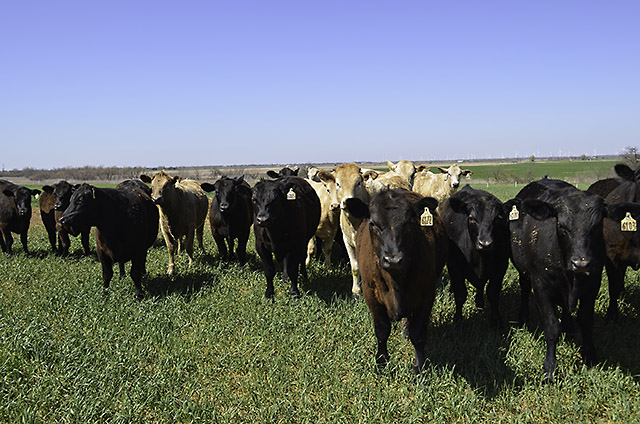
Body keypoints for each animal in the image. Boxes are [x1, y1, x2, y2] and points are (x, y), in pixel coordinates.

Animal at [333, 163, 370, 297]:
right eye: (337, 184)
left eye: (359, 182)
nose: (348, 202)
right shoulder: (347, 242)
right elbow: (355, 267)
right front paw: (356, 292)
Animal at [344, 189, 447, 374]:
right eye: (373, 224)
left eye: (409, 223)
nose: (393, 260)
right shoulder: (370, 292)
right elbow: (382, 330)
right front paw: (381, 362)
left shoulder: (427, 293)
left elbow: (418, 333)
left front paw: (419, 367)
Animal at [439, 185, 509, 327]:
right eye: (471, 218)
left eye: (498, 218)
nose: (485, 243)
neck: (481, 259)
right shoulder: (454, 268)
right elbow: (460, 294)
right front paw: (457, 319)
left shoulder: (501, 268)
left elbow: (493, 293)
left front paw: (496, 320)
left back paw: (479, 304)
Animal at [506, 178, 606, 382]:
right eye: (561, 226)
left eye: (596, 227)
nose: (581, 263)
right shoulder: (541, 286)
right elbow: (551, 327)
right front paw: (550, 368)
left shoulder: (593, 283)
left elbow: (586, 320)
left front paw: (590, 357)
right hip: (524, 273)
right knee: (524, 290)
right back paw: (523, 318)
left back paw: (569, 327)